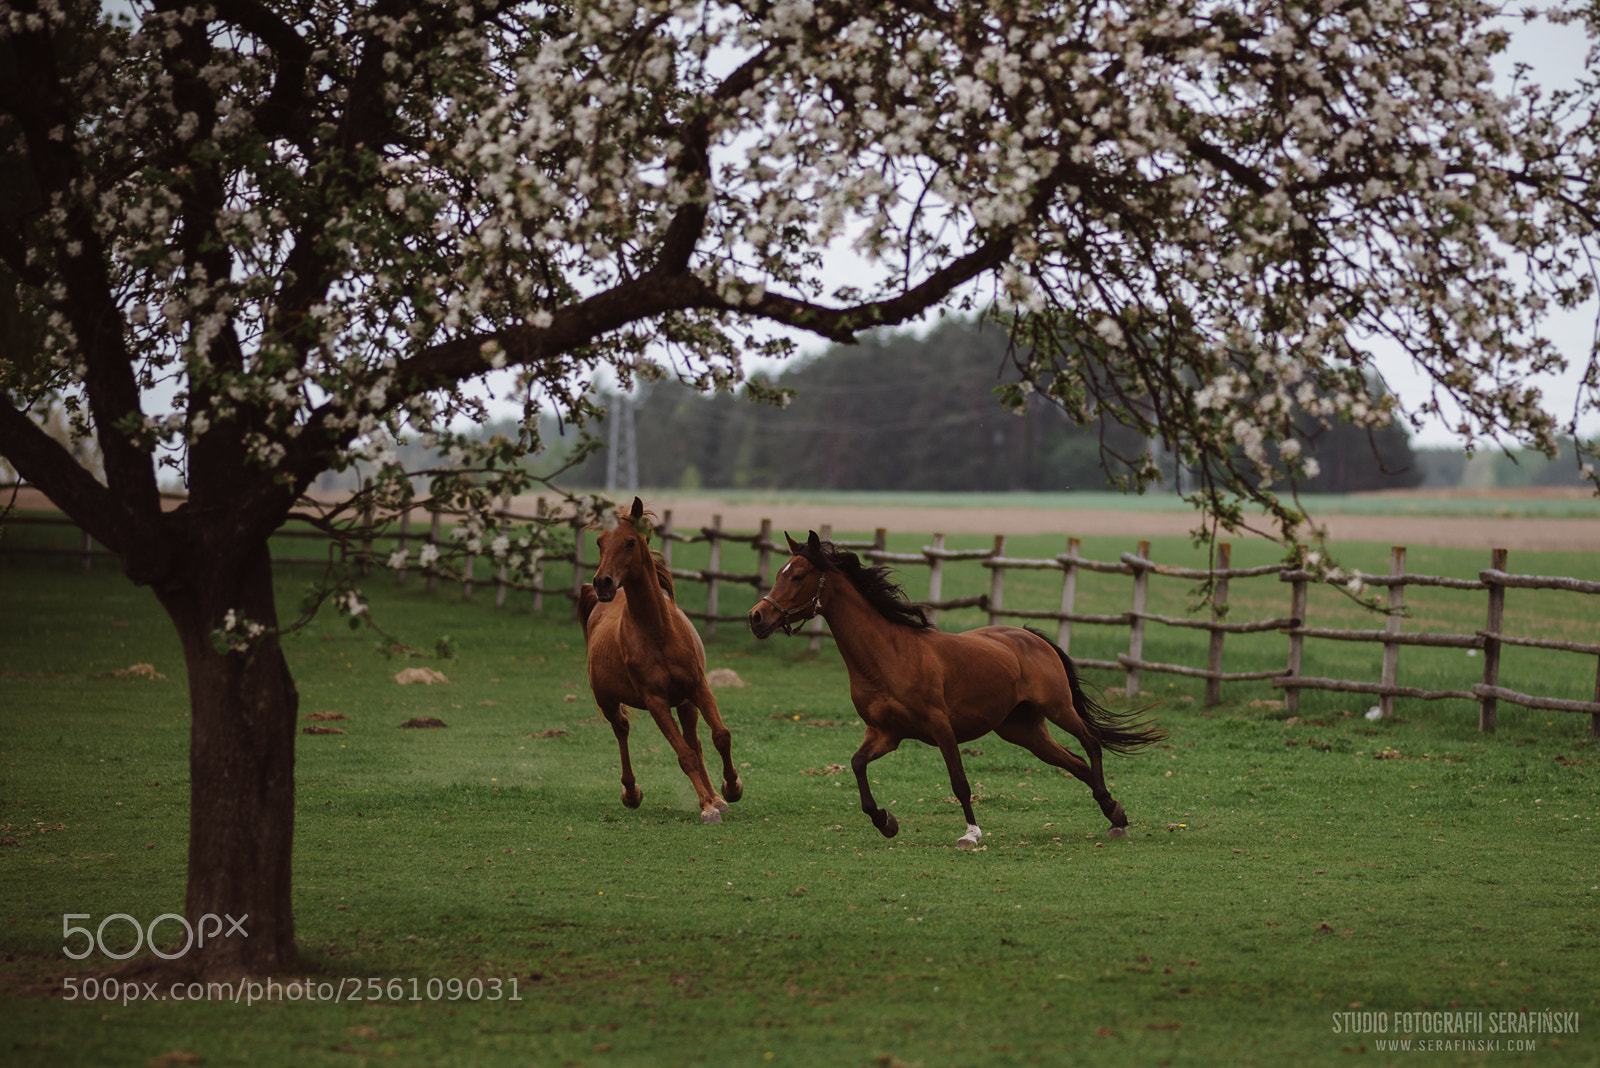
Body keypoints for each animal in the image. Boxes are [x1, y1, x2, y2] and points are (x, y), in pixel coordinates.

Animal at [579, 497, 742, 823]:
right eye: (600, 541)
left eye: (630, 541)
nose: (603, 582)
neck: (658, 632)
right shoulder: (655, 701)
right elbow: (684, 755)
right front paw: (706, 807)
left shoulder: (699, 687)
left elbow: (720, 736)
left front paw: (730, 789)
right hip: (608, 701)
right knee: (622, 730)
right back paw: (632, 793)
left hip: (685, 702)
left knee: (696, 741)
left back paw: (717, 797)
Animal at [748, 530, 1165, 847]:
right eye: (781, 573)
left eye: (798, 576)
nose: (757, 617)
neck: (887, 656)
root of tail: (1029, 636)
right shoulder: (885, 732)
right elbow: (857, 765)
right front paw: (886, 821)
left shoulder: (940, 726)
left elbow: (960, 782)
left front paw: (971, 834)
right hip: (1023, 730)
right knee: (1075, 763)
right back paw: (1113, 812)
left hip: (1058, 707)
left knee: (1091, 742)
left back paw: (1113, 811)